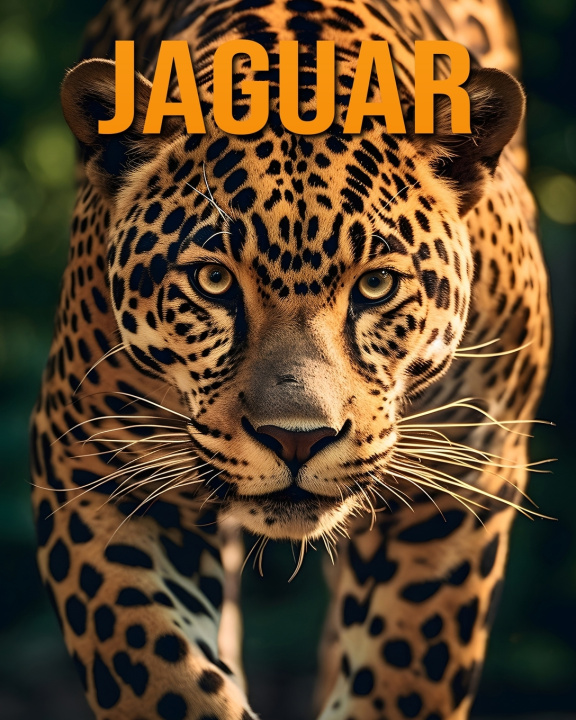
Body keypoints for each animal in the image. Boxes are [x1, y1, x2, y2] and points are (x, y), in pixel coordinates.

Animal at [30, 0, 551, 719]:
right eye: (214, 281)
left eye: (376, 286)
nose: (296, 440)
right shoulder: (94, 471)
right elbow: (159, 674)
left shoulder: (462, 482)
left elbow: (403, 676)